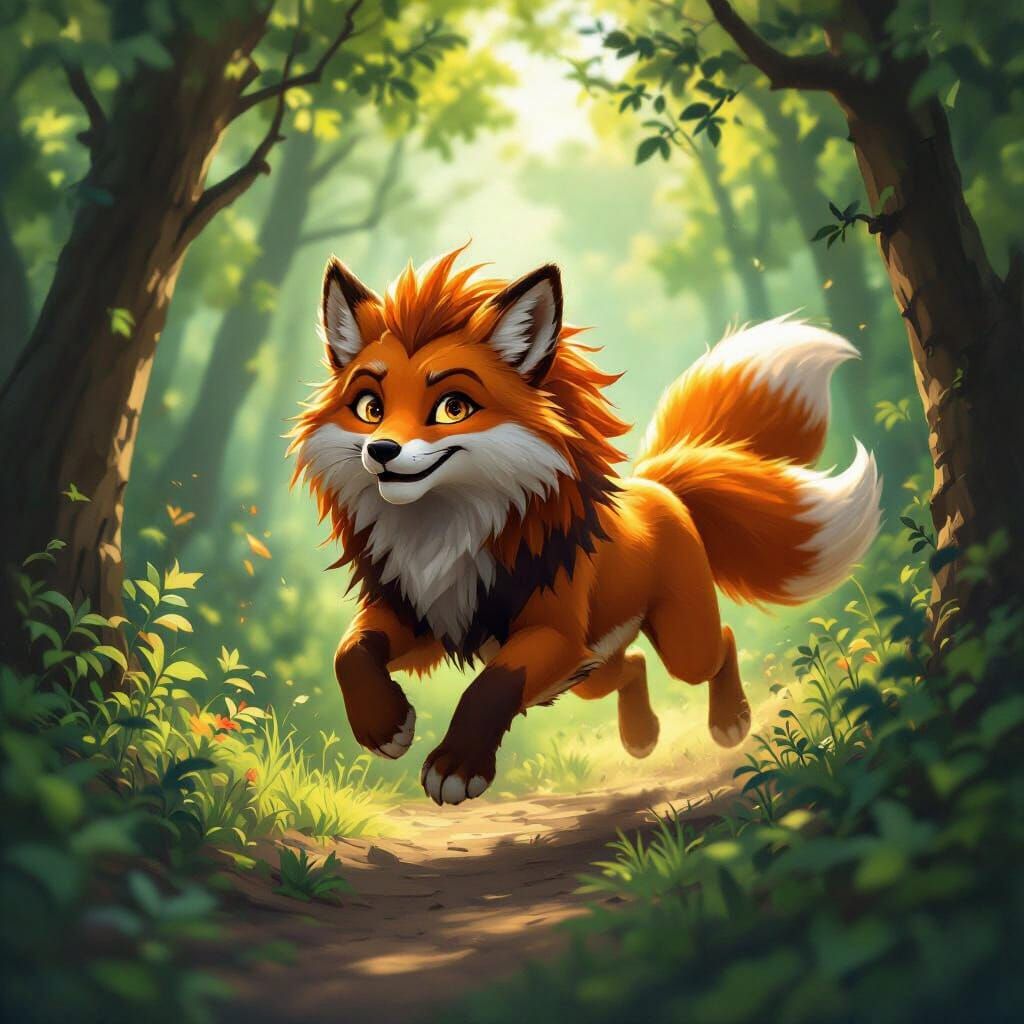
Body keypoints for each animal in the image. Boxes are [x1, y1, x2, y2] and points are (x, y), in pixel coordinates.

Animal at [291, 246, 881, 806]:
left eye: (452, 407)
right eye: (370, 407)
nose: (380, 450)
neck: (444, 534)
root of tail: (659, 487)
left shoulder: (550, 631)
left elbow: (491, 685)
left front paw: (457, 766)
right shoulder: (422, 613)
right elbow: (350, 650)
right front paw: (383, 724)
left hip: (676, 645)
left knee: (720, 645)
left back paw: (730, 719)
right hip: (589, 672)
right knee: (634, 666)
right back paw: (641, 734)